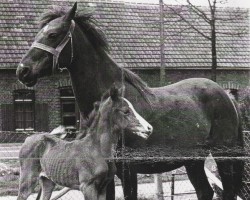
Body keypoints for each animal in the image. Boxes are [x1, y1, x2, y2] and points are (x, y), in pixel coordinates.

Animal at [17, 86, 152, 200]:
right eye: (125, 111)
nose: (149, 128)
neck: (97, 150)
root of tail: (28, 139)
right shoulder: (87, 187)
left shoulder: (102, 188)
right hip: (28, 181)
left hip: (47, 182)